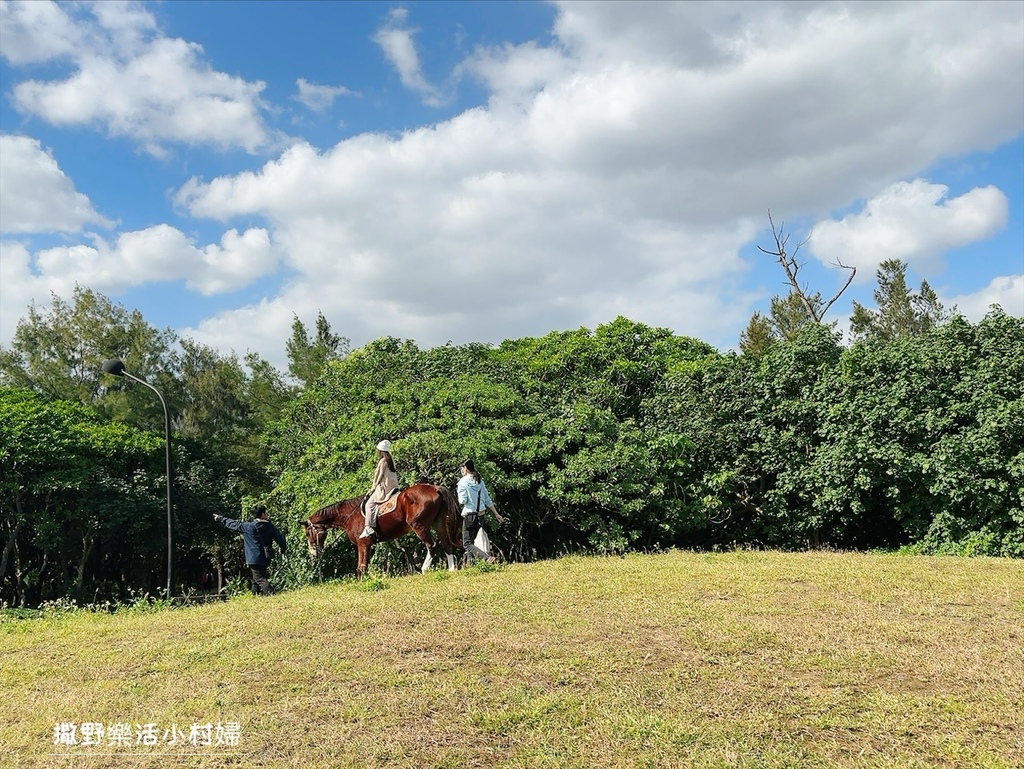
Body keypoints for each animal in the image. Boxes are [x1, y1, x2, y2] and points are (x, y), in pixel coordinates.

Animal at [299, 481, 464, 577]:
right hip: (438, 523)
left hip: (419, 526)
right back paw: (452, 569)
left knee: (432, 545)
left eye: (307, 534)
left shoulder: (363, 543)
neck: (349, 514)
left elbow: (361, 567)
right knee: (447, 545)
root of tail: (435, 488)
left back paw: (424, 569)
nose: (313, 552)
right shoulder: (366, 544)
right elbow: (362, 567)